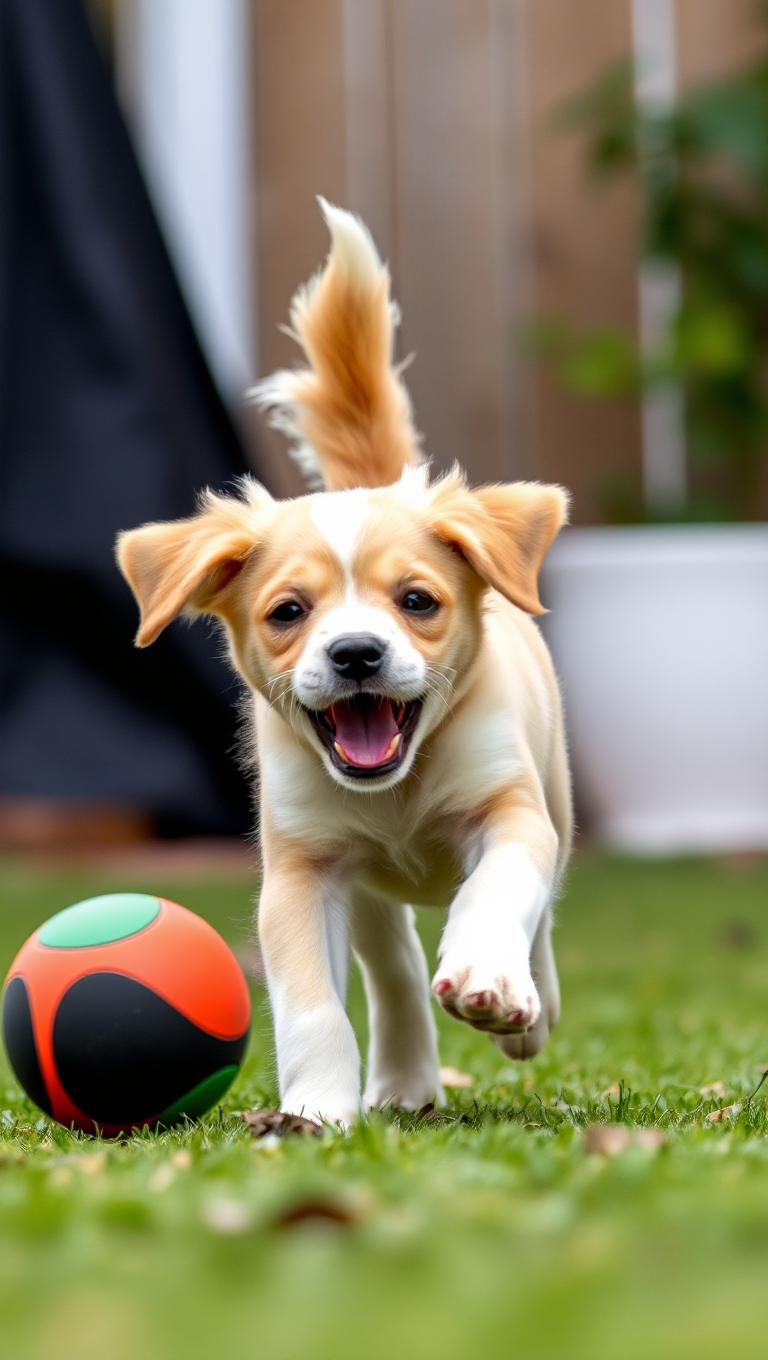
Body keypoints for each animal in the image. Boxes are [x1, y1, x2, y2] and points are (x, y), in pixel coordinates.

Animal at [118, 197, 568, 1120]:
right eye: (289, 612)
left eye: (417, 602)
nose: (356, 652)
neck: (398, 791)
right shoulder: (303, 868)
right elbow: (311, 1001)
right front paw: (319, 1110)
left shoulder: (510, 807)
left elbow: (504, 887)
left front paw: (490, 977)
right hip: (367, 891)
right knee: (393, 966)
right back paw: (401, 1084)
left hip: (558, 792)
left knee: (541, 908)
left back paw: (528, 1007)